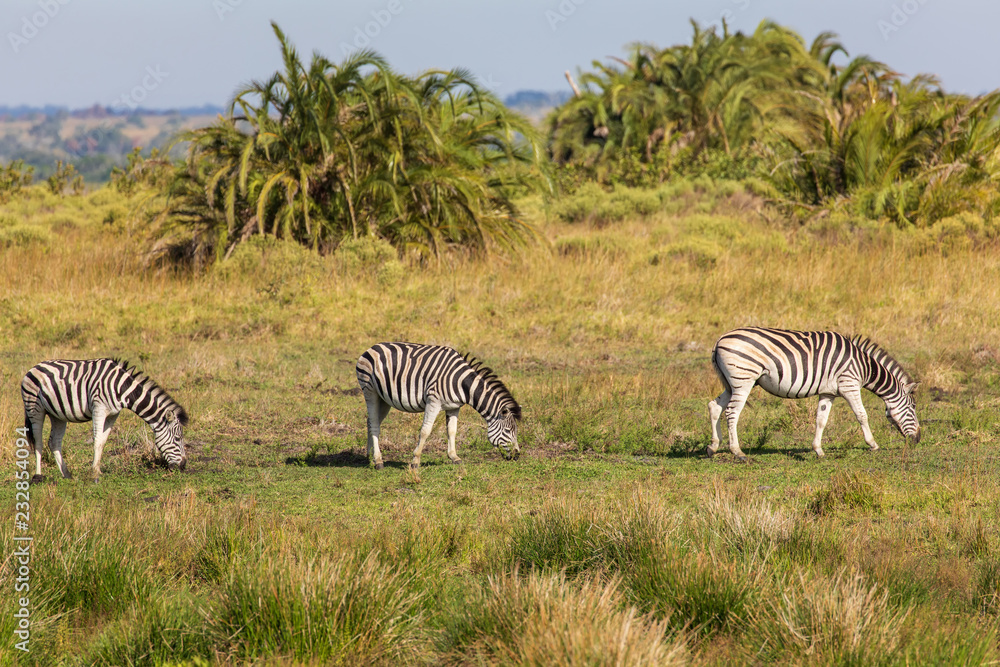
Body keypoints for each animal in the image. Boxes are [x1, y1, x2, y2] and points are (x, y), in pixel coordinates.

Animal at [21, 358, 189, 481]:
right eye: (178, 438)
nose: (183, 465)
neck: (122, 388)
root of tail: (33, 367)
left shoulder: (113, 414)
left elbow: (102, 441)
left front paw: (97, 470)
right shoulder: (99, 409)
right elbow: (96, 440)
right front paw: (94, 473)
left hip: (57, 415)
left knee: (54, 442)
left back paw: (67, 475)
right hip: (34, 408)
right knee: (38, 442)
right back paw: (38, 476)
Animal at [355, 342, 521, 470]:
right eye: (508, 431)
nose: (517, 456)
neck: (461, 382)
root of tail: (372, 347)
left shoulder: (454, 406)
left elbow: (452, 431)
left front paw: (454, 457)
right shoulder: (433, 401)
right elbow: (425, 431)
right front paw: (415, 461)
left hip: (384, 398)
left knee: (371, 422)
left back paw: (369, 456)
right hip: (370, 391)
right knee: (374, 424)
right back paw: (378, 461)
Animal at [708, 328, 920, 461]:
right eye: (913, 407)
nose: (917, 439)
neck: (864, 367)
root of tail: (720, 339)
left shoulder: (827, 392)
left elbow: (821, 420)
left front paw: (818, 450)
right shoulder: (849, 385)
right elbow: (862, 415)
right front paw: (873, 444)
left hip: (734, 383)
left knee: (714, 406)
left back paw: (713, 447)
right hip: (744, 380)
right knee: (731, 412)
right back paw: (738, 452)